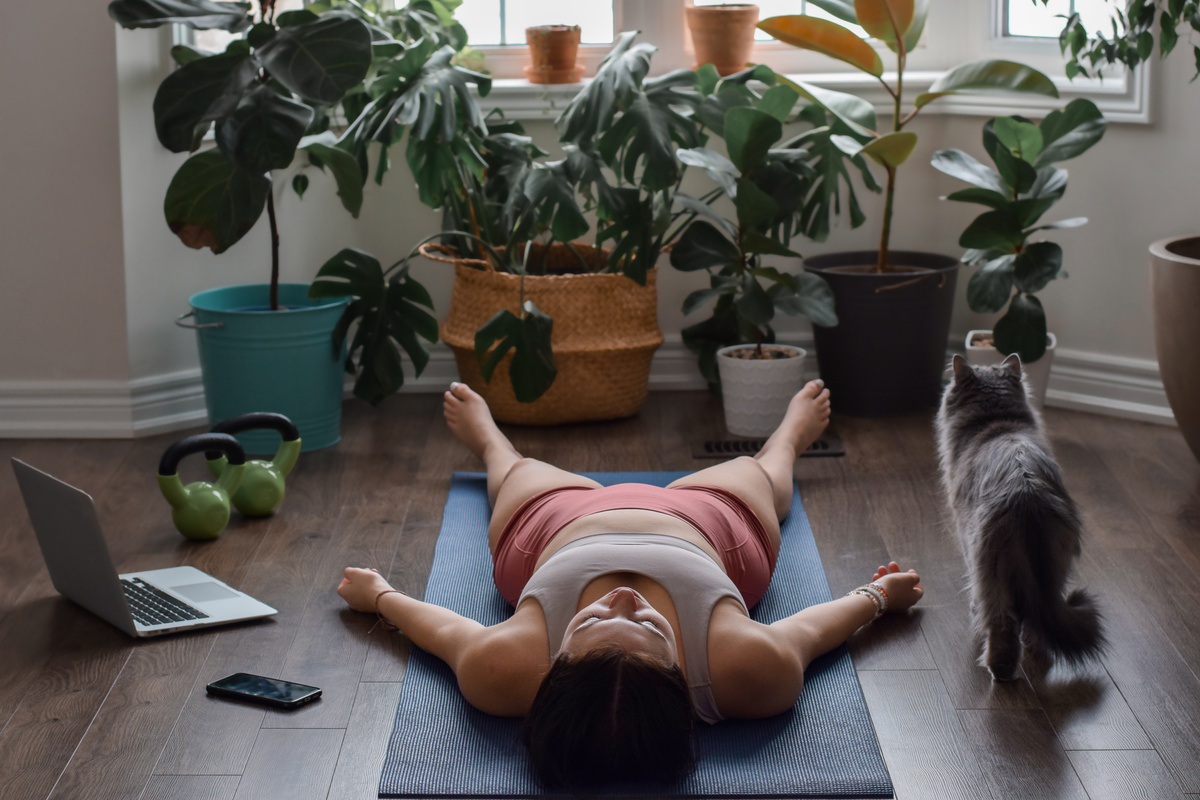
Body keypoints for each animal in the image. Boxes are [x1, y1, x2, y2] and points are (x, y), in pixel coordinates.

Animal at [936, 352, 1104, 681]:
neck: (996, 423)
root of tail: (1027, 497)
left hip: (989, 571)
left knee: (1003, 624)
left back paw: (999, 672)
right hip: (1055, 570)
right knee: (1037, 621)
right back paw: (1036, 653)